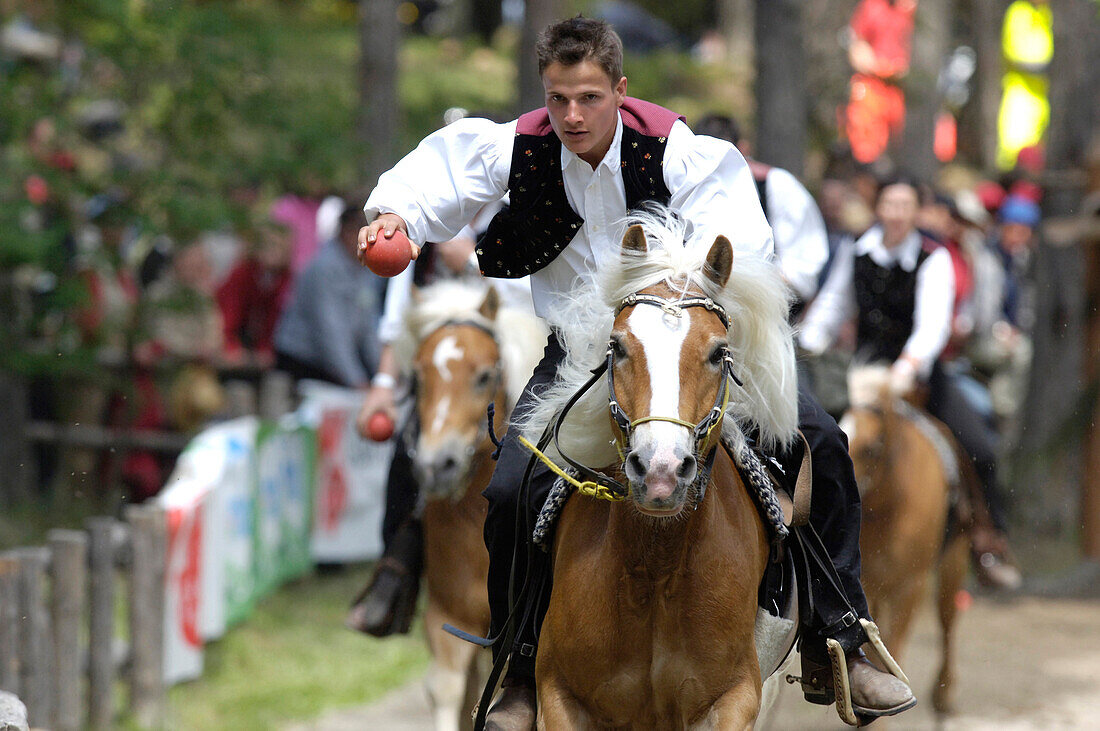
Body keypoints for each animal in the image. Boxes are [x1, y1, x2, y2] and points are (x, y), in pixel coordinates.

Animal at [514, 207, 800, 725]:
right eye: (618, 346)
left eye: (718, 352)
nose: (661, 473)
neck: (654, 571)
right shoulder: (561, 695)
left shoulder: (734, 695)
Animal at [836, 367, 968, 707]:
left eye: (872, 446)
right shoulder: (865, 587)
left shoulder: (911, 586)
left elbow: (892, 653)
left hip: (953, 562)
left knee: (948, 619)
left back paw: (943, 694)